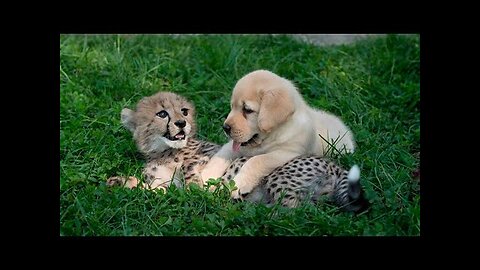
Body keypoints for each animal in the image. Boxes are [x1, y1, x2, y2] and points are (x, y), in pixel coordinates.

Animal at [201, 68, 354, 197]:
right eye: (232, 106)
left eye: (247, 110)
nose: (225, 128)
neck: (269, 137)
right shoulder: (236, 146)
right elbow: (221, 155)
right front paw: (206, 177)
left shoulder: (288, 153)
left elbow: (257, 160)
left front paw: (239, 184)